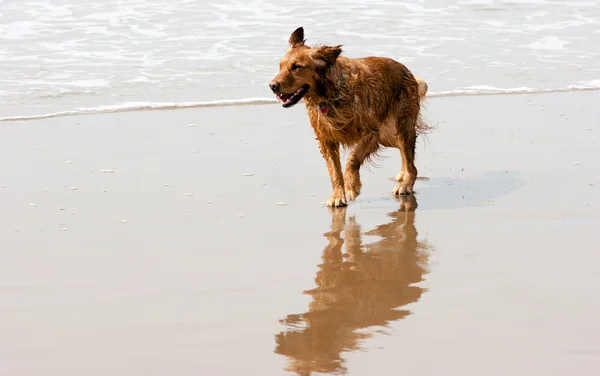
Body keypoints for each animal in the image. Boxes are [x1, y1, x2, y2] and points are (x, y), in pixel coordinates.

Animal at [270, 26, 428, 207]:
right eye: (280, 66)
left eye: (297, 66)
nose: (272, 85)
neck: (329, 95)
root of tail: (407, 71)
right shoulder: (326, 140)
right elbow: (334, 171)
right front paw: (338, 195)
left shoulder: (371, 133)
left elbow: (353, 157)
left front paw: (352, 185)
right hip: (387, 135)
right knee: (403, 151)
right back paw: (402, 174)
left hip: (401, 126)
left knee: (410, 161)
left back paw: (406, 183)